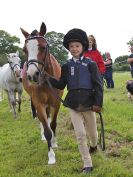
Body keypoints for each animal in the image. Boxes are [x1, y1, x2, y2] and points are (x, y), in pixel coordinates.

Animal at [20, 22, 62, 165]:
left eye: (43, 47)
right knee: (41, 119)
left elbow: (53, 124)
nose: (32, 75)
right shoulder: (38, 103)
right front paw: (51, 156)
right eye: (24, 50)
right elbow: (47, 128)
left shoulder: (56, 102)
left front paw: (54, 143)